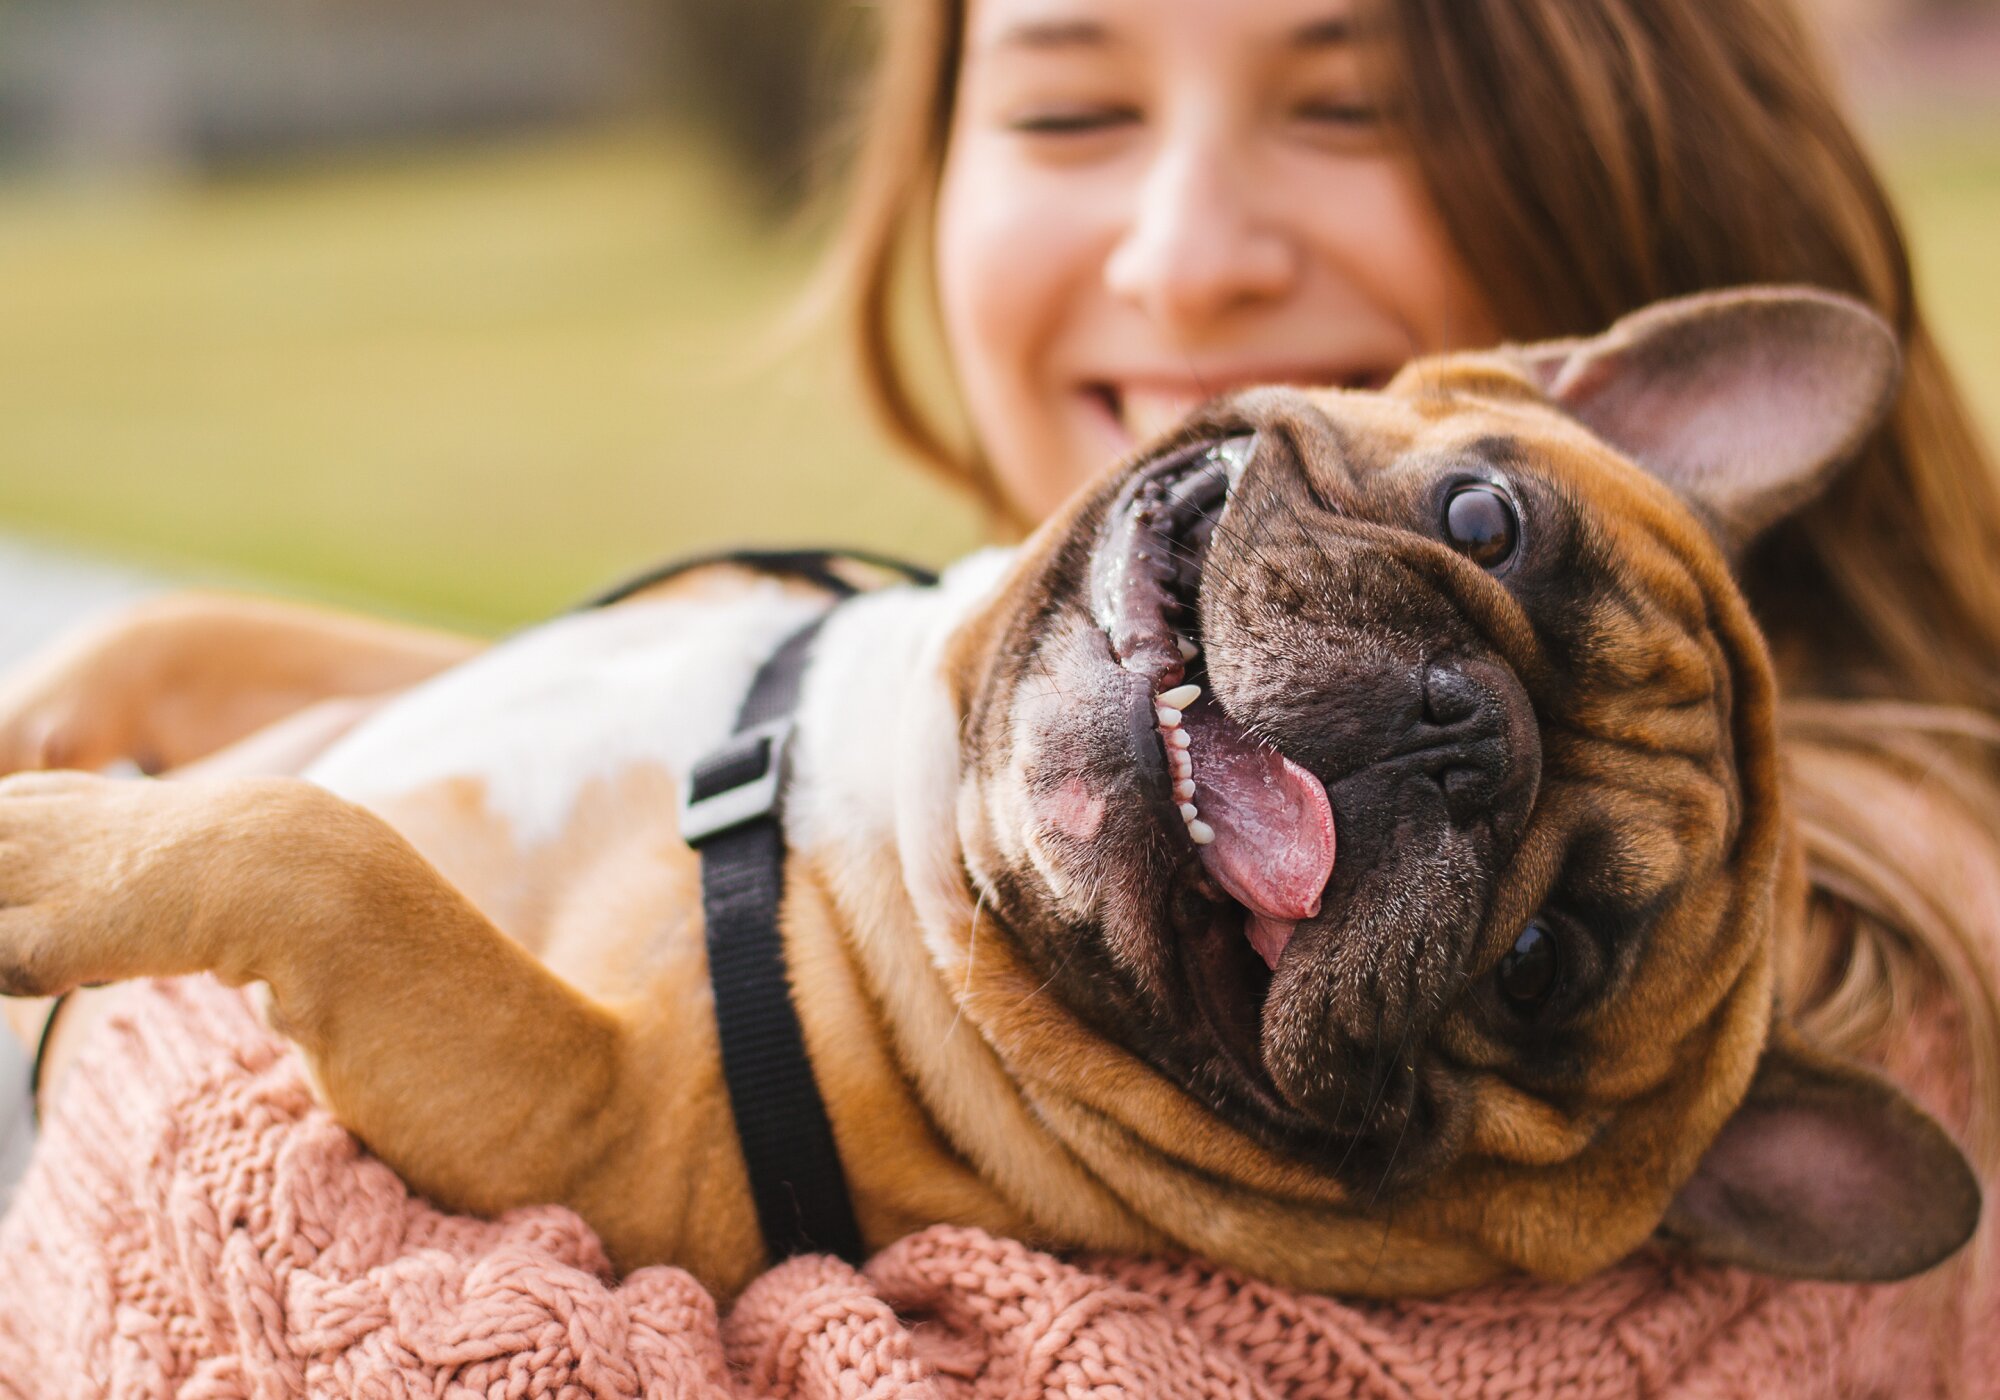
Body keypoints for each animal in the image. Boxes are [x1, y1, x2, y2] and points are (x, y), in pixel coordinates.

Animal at [0, 288, 1976, 1304]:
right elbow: (184, 635)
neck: (888, 792)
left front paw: (43, 856)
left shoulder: (582, 1119)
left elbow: (334, 855)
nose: (1459, 733)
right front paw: (51, 738)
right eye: (1485, 519)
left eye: (1546, 963)